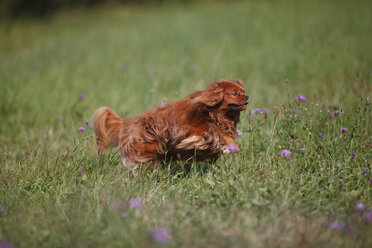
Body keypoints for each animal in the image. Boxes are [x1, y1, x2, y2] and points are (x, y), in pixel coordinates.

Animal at [94, 80, 248, 167]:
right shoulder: (191, 129)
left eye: (243, 91)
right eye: (235, 93)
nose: (247, 96)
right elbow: (209, 134)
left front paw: (229, 147)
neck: (213, 112)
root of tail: (126, 123)